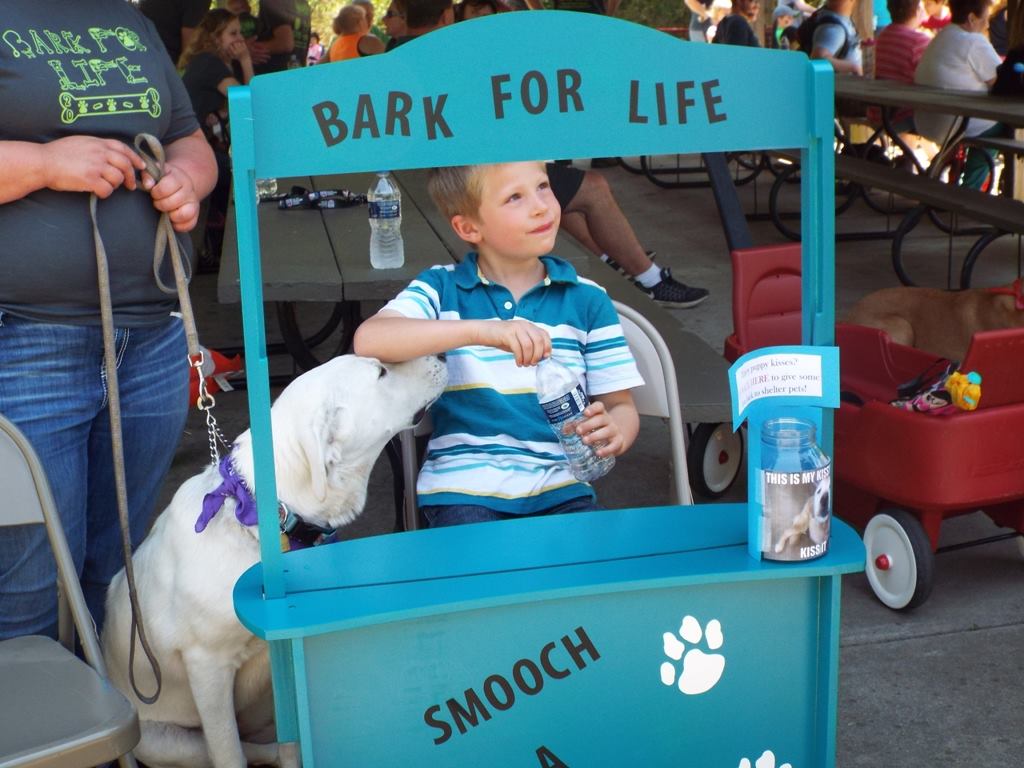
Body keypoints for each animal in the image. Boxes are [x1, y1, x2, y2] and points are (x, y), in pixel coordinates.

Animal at [101, 354, 447, 768]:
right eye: (380, 372)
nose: (442, 355)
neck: (262, 522)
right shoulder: (207, 666)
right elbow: (229, 751)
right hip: (162, 740)